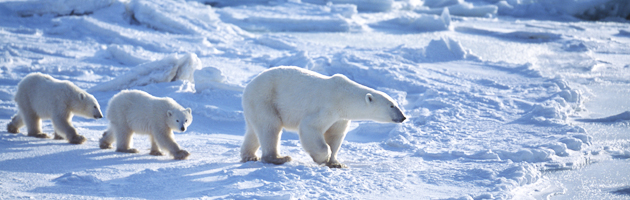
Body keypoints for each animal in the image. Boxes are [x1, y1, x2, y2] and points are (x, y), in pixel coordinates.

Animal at [239, 66, 408, 168]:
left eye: (396, 103)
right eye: (392, 106)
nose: (403, 117)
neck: (344, 96)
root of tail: (248, 87)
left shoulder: (340, 117)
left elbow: (335, 135)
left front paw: (336, 163)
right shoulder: (328, 107)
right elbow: (310, 127)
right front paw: (322, 158)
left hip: (255, 105)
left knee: (254, 131)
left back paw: (249, 156)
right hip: (265, 99)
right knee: (270, 128)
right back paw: (279, 158)